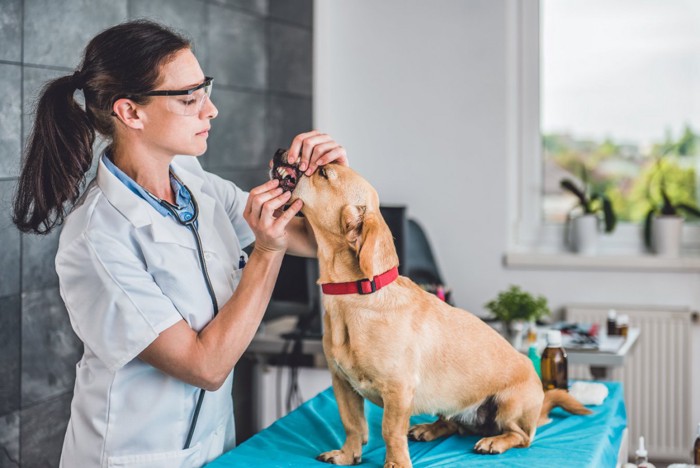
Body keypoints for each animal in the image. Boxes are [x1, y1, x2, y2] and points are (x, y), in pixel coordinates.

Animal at [282, 162, 588, 468]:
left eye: (322, 172)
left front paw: (395, 463)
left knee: (520, 436)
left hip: (509, 405)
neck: (354, 297)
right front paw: (347, 455)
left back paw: (493, 442)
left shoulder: (398, 390)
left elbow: (389, 431)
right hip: (450, 400)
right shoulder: (343, 385)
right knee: (453, 423)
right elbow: (353, 425)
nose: (283, 155)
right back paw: (429, 429)